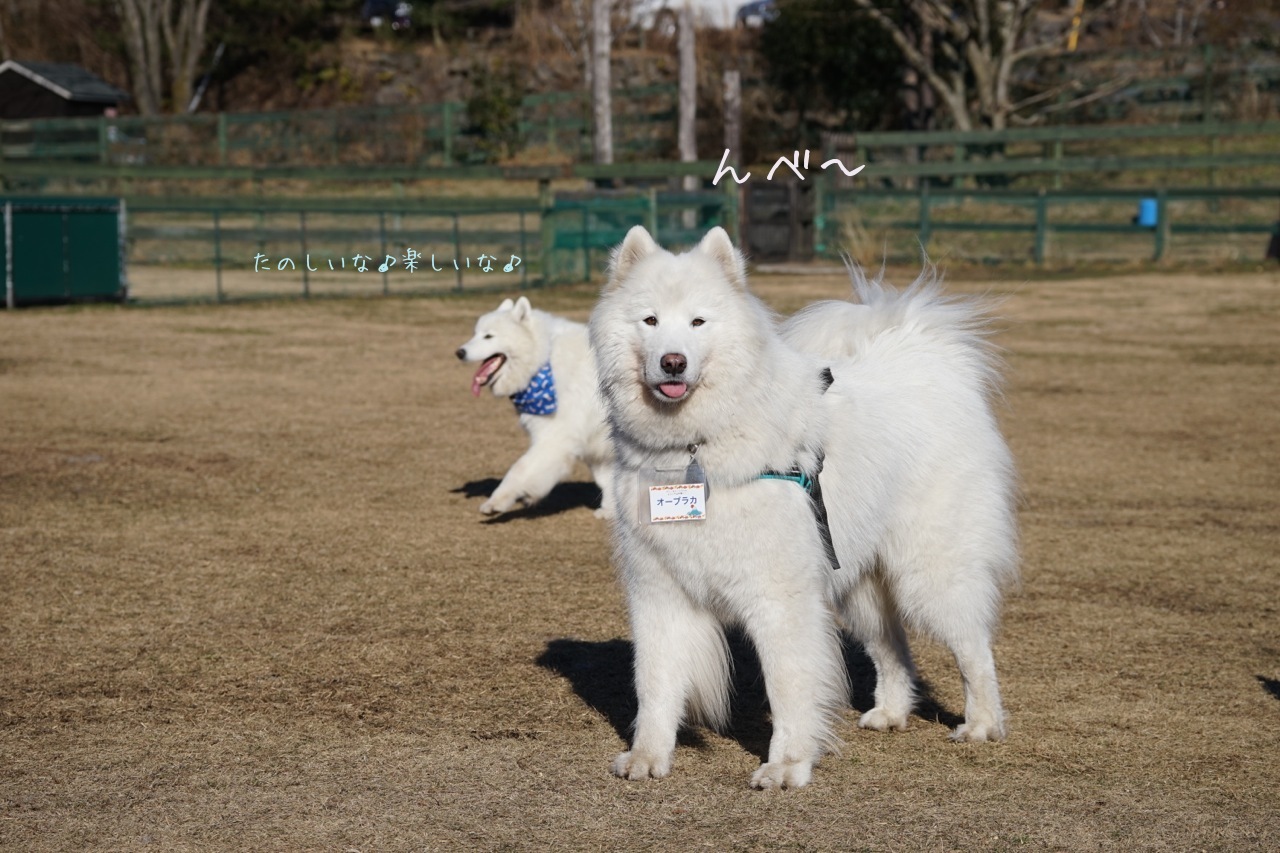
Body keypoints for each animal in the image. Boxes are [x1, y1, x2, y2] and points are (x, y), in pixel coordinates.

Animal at [455, 292, 614, 517]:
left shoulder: (555, 439)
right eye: (475, 334)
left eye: (489, 336)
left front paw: (497, 502)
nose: (459, 352)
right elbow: (606, 480)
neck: (543, 360)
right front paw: (610, 511)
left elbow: (520, 469)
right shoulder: (595, 444)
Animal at [588, 227, 1018, 788]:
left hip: (930, 575)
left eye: (699, 322)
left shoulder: (779, 597)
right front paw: (647, 756)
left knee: (974, 648)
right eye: (650, 321)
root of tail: (921, 355)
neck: (694, 449)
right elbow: (655, 684)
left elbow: (789, 686)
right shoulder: (659, 593)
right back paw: (891, 713)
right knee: (893, 648)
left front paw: (788, 764)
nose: (673, 361)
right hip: (857, 584)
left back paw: (983, 724)